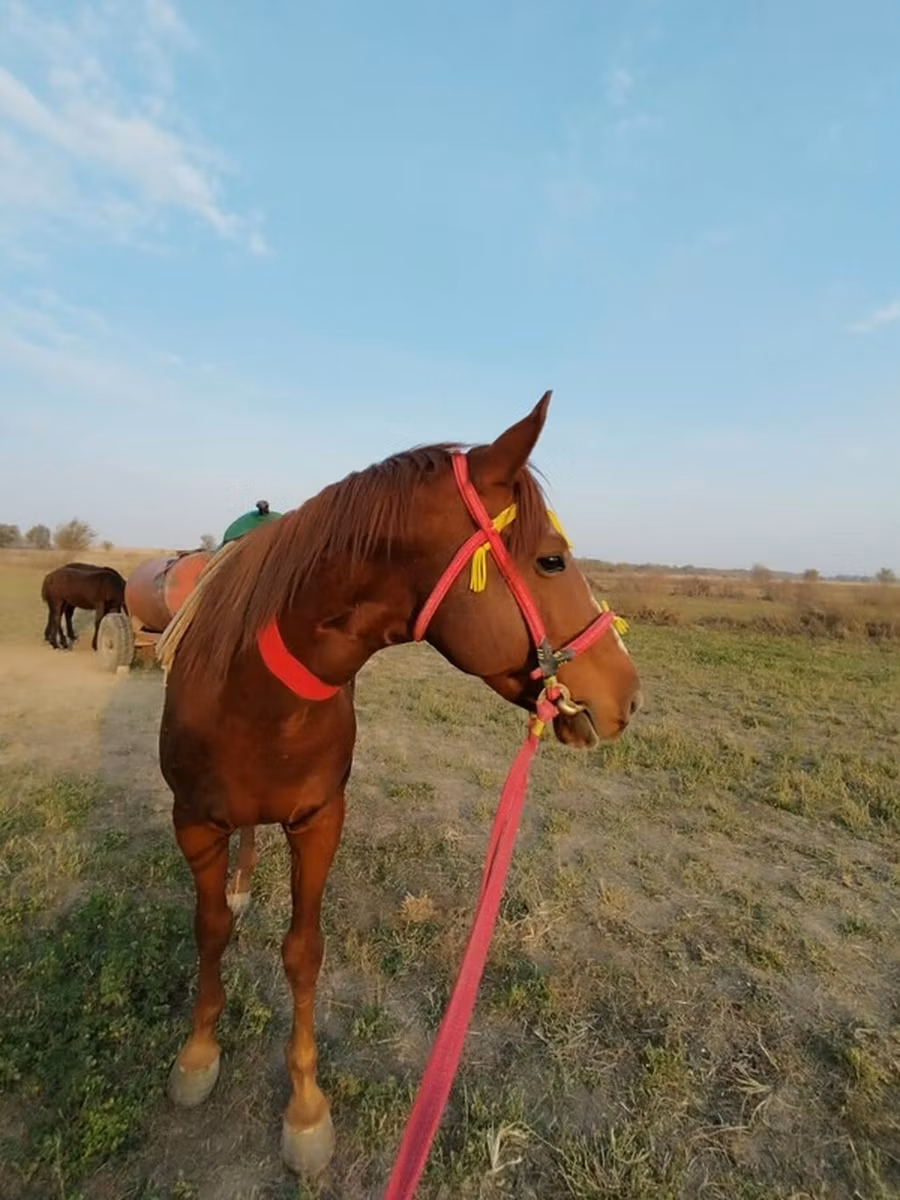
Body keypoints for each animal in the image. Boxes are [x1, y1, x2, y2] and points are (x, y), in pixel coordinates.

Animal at [158, 393, 642, 1183]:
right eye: (551, 559)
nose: (630, 693)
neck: (254, 695)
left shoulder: (320, 821)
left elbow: (303, 952)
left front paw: (305, 1110)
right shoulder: (194, 822)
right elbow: (211, 929)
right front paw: (198, 1056)